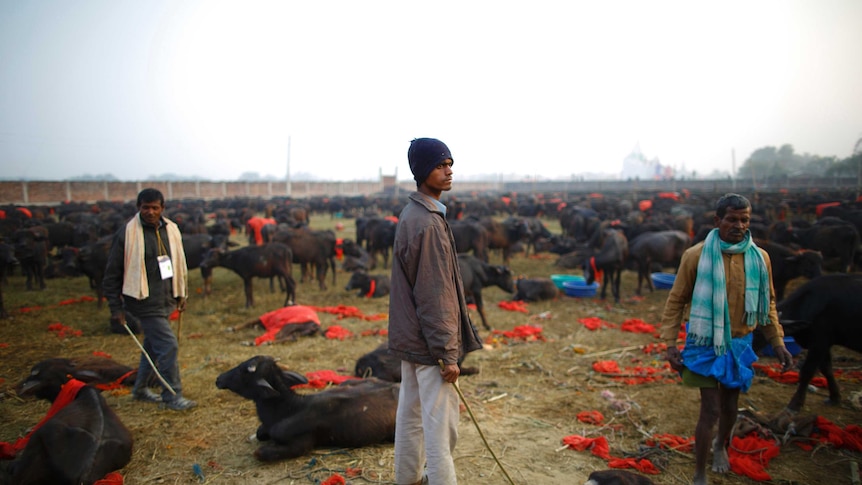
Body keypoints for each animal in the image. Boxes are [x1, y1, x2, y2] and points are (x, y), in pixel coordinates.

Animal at [216, 354, 398, 460]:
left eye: (241, 370)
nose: (218, 379)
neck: (287, 409)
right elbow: (260, 432)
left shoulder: (300, 444)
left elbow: (259, 453)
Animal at [776, 274, 862, 410]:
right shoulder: (824, 344)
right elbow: (826, 369)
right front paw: (834, 397)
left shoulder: (819, 342)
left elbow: (807, 371)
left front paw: (794, 404)